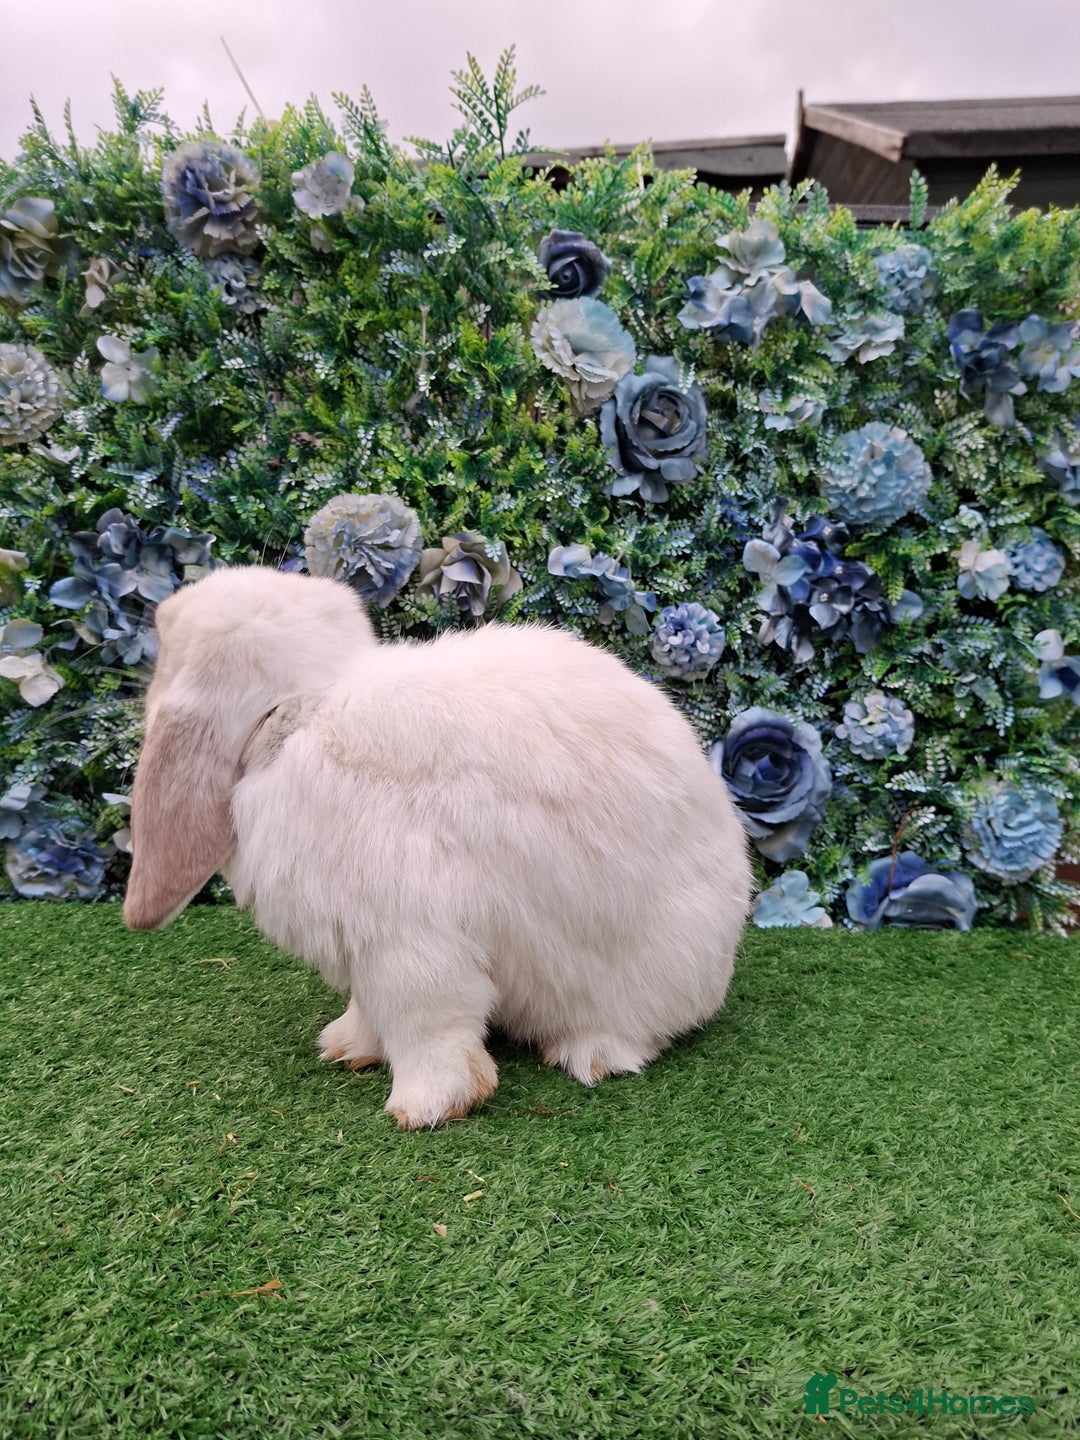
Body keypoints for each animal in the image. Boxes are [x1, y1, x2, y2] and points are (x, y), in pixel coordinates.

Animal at [124, 565, 752, 1128]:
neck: (297, 716)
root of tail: (721, 962)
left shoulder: (409, 943)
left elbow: (426, 1025)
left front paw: (425, 1108)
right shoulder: (366, 954)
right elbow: (371, 1011)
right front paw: (346, 1047)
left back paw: (590, 1055)